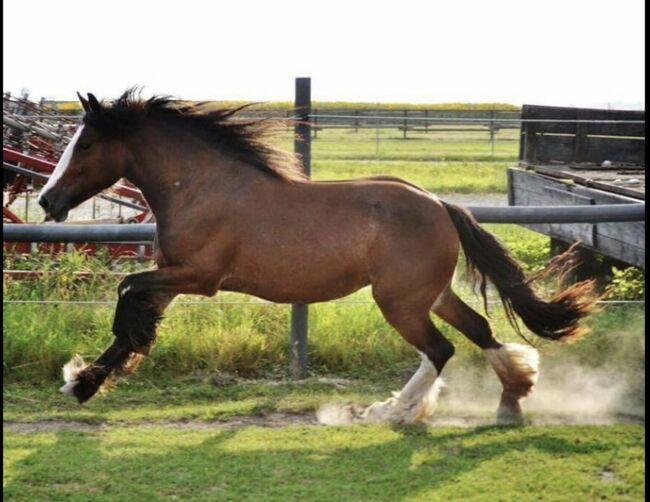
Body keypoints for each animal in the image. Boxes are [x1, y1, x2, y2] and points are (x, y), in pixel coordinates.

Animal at [36, 90, 596, 424]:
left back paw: (389, 412)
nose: (46, 201)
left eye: (85, 144)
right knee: (477, 330)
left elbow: (125, 295)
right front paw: (85, 382)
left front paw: (81, 381)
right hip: (429, 294)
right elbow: (131, 317)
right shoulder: (173, 278)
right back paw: (512, 399)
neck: (201, 188)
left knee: (441, 349)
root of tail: (441, 204)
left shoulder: (196, 276)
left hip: (399, 301)